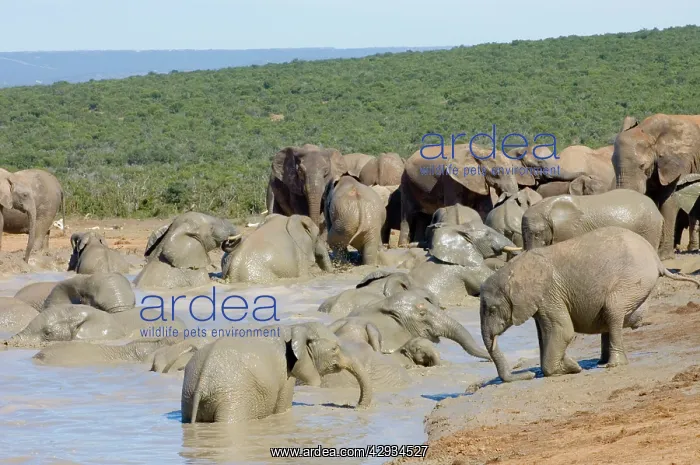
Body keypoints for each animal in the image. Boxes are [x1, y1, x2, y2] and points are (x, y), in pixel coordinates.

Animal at [180, 323, 372, 423]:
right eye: (334, 349)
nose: (355, 407)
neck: (295, 328)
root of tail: (203, 383)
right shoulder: (286, 372)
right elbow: (282, 407)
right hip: (231, 397)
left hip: (189, 394)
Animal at [398, 144, 535, 246]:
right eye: (496, 173)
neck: (479, 151)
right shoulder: (449, 178)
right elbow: (454, 204)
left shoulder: (480, 180)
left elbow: (484, 207)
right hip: (405, 182)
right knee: (407, 215)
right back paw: (403, 245)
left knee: (422, 216)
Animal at [479, 226, 700, 383]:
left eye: (492, 310)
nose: (528, 376)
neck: (513, 268)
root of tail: (657, 260)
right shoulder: (541, 301)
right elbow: (544, 334)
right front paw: (568, 365)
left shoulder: (549, 294)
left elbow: (562, 331)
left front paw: (571, 368)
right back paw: (602, 361)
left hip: (632, 280)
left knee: (613, 310)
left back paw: (612, 365)